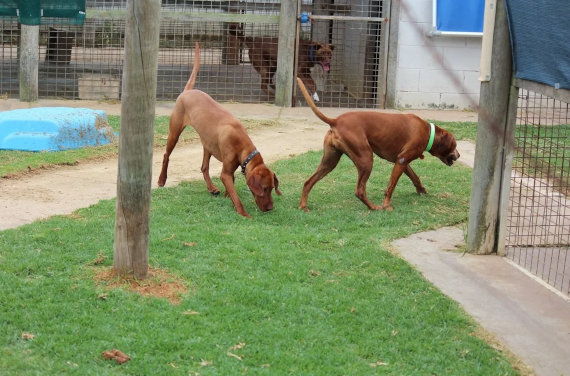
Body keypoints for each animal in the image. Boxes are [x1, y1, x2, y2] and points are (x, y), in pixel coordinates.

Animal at [156, 42, 280, 217]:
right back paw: (162, 180)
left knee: (204, 167)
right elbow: (236, 195)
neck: (242, 143)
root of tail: (187, 91)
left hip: (207, 143)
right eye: (264, 189)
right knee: (166, 155)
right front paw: (243, 213)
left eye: (272, 188)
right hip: (174, 132)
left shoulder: (231, 169)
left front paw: (228, 196)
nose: (270, 208)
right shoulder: (225, 173)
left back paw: (211, 188)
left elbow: (232, 184)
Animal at [296, 77, 460, 212]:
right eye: (455, 145)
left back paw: (303, 206)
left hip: (330, 161)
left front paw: (422, 191)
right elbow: (391, 186)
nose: (459, 155)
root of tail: (335, 121)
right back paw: (374, 207)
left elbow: (415, 177)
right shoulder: (402, 160)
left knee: (308, 182)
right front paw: (386, 205)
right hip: (366, 159)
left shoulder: (402, 162)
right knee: (360, 191)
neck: (428, 131)